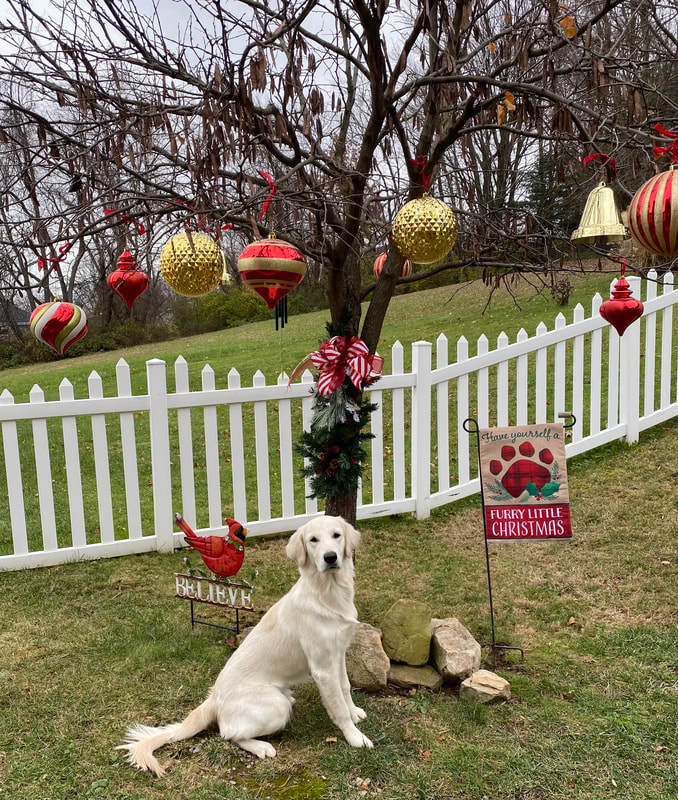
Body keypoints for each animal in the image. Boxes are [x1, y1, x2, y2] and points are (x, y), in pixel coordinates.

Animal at [117, 516, 372, 780]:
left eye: (336, 535)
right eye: (313, 540)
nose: (330, 557)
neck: (328, 594)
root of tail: (214, 698)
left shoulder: (338, 653)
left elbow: (345, 687)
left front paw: (354, 712)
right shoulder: (322, 668)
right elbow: (337, 707)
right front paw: (356, 738)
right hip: (277, 706)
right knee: (228, 733)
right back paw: (261, 747)